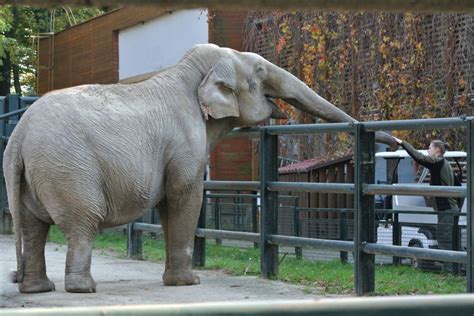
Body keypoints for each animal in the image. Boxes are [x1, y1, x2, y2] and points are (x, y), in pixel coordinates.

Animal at [3, 43, 396, 294]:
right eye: (259, 71)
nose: (393, 141)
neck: (187, 72)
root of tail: (19, 135)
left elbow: (172, 204)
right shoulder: (183, 144)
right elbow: (184, 198)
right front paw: (188, 283)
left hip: (32, 175)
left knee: (33, 228)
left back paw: (38, 288)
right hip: (70, 169)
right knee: (82, 224)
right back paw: (83, 289)